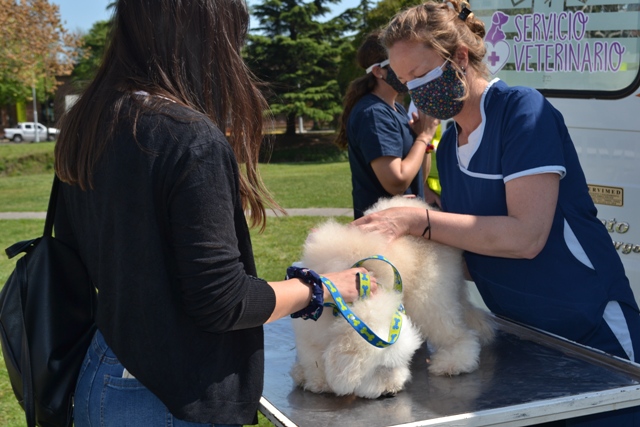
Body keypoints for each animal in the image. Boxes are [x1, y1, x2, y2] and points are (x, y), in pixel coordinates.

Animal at [290, 196, 496, 400]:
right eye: (380, 367)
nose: (391, 390)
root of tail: (426, 207)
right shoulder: (310, 331)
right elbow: (312, 356)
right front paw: (313, 377)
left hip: (429, 295)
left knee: (456, 333)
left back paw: (454, 361)